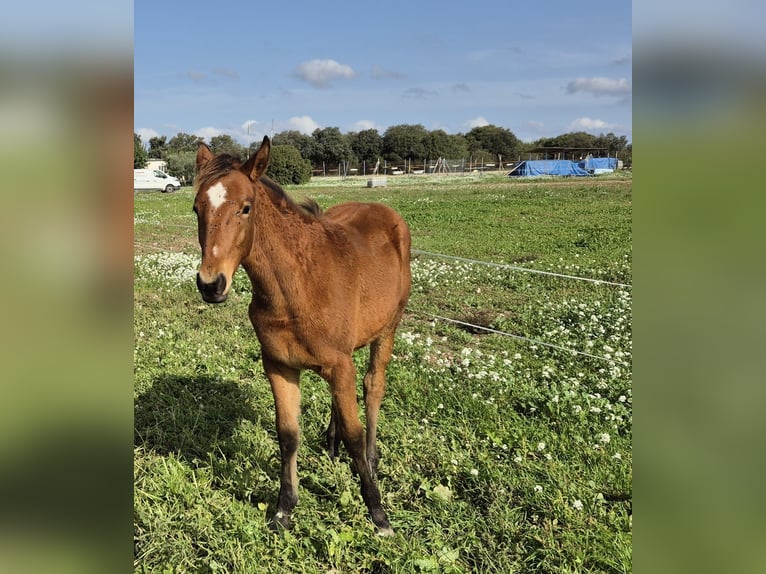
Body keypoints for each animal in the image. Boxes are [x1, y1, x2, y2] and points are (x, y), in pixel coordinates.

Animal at [195, 137, 414, 536]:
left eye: (246, 208)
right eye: (196, 208)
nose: (210, 284)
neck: (296, 286)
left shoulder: (340, 364)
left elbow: (356, 432)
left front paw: (378, 513)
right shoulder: (279, 366)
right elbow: (288, 434)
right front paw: (284, 509)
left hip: (388, 328)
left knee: (373, 386)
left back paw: (371, 456)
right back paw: (331, 444)